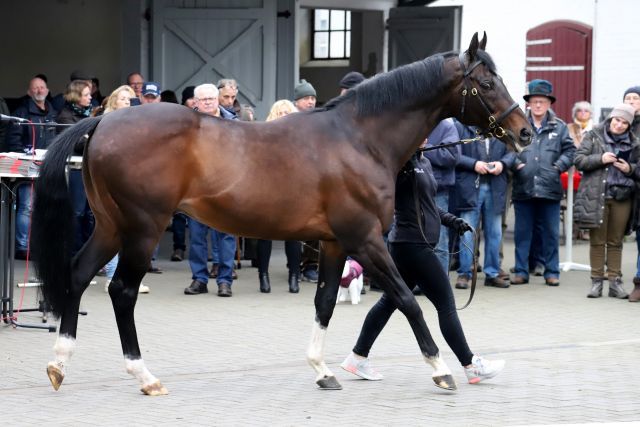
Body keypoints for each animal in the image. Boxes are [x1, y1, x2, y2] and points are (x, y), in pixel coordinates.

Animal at [31, 31, 528, 396]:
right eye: (486, 83)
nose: (523, 131)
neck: (359, 138)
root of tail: (103, 119)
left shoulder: (333, 243)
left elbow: (324, 303)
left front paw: (322, 371)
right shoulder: (366, 239)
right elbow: (408, 301)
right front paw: (440, 369)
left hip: (111, 227)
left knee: (78, 274)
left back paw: (58, 363)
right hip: (142, 230)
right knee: (122, 291)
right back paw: (145, 376)